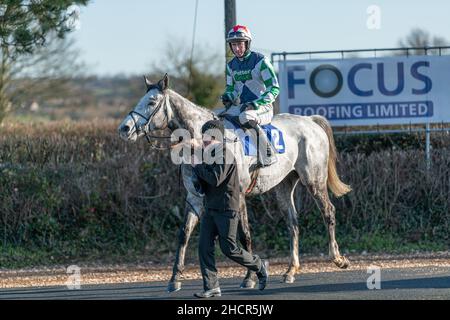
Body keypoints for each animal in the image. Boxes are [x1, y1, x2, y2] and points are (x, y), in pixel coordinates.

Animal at [118, 75, 350, 292]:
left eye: (151, 101)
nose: (124, 128)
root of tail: (310, 120)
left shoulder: (238, 195)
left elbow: (244, 235)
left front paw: (250, 278)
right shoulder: (194, 196)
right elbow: (184, 234)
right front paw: (174, 279)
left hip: (314, 180)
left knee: (328, 212)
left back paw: (338, 259)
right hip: (284, 185)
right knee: (292, 222)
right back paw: (291, 270)